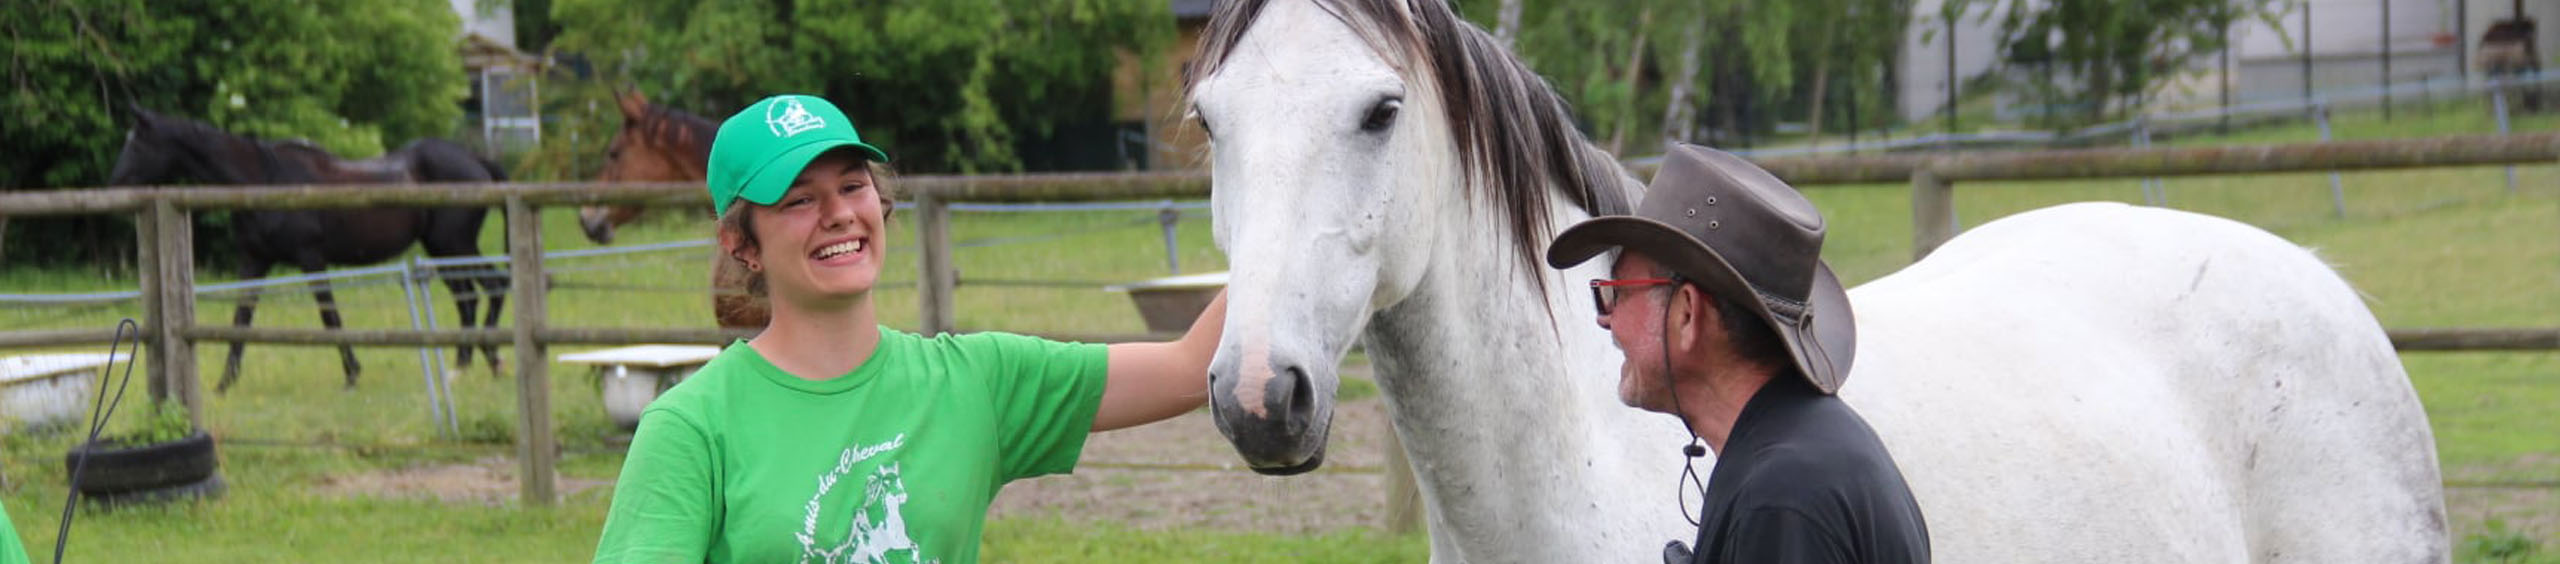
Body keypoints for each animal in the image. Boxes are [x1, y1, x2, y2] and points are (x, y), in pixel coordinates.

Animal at [107, 107, 512, 392]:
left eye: (138, 143)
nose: (114, 184)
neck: (264, 181)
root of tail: (477, 162)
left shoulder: (311, 259)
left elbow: (329, 316)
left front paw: (352, 374)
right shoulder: (254, 262)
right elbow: (240, 319)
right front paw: (225, 383)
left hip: (454, 245)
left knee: (494, 285)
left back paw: (490, 360)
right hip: (443, 249)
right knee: (467, 297)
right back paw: (464, 365)